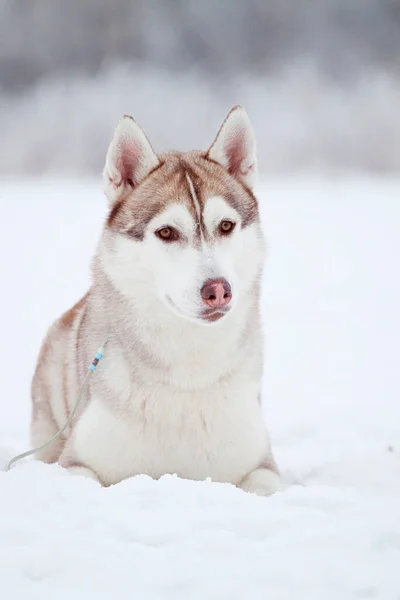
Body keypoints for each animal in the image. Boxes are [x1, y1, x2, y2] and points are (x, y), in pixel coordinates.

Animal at [31, 105, 280, 494]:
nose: (218, 289)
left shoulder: (262, 466)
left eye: (226, 225)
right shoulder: (76, 464)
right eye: (166, 232)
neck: (186, 371)